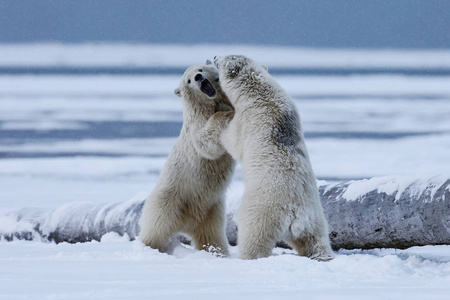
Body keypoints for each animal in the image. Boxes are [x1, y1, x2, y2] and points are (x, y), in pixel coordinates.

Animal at [139, 61, 234, 255]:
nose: (198, 78)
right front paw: (225, 114)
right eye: (188, 80)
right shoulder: (197, 124)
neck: (208, 103)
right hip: (169, 200)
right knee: (155, 227)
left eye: (200, 69)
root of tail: (186, 222)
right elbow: (206, 142)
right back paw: (149, 247)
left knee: (211, 234)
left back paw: (218, 252)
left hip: (211, 209)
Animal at [211, 54, 334, 260]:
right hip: (315, 217)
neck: (260, 91)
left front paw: (221, 121)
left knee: (253, 235)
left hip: (262, 211)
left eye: (225, 57)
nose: (214, 56)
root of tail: (295, 213)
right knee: (315, 240)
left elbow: (233, 140)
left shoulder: (248, 118)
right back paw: (322, 255)